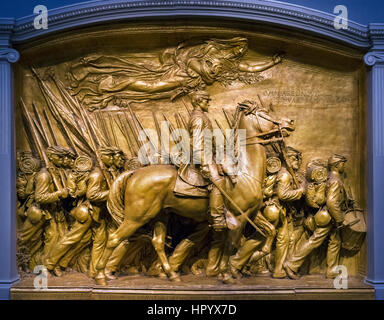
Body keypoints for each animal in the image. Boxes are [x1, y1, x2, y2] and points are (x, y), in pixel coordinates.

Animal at [94, 101, 296, 284]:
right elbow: (231, 245)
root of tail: (135, 173)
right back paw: (101, 275)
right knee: (114, 239)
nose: (290, 122)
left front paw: (245, 262)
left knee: (157, 242)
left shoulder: (251, 214)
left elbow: (268, 232)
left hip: (161, 215)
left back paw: (171, 274)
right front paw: (227, 273)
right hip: (137, 217)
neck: (244, 171)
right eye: (264, 112)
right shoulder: (239, 216)